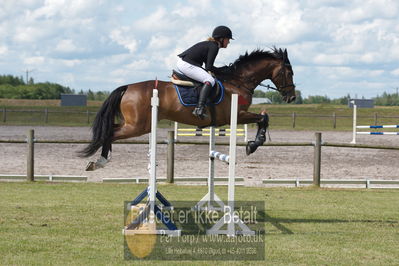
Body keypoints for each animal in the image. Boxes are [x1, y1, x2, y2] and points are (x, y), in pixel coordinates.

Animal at [79, 47, 296, 170]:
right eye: (289, 72)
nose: (292, 97)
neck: (238, 82)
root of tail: (128, 87)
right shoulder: (237, 115)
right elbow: (263, 119)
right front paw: (253, 144)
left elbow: (263, 117)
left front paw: (253, 143)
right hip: (138, 126)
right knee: (110, 133)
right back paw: (100, 162)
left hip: (136, 124)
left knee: (111, 130)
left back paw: (99, 162)